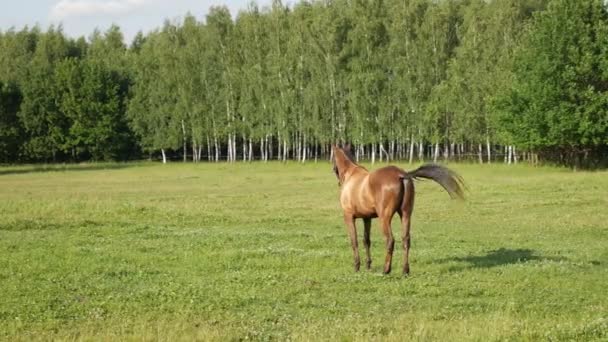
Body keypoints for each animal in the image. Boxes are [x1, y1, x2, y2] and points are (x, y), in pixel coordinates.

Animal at [330, 144, 464, 276]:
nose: (335, 172)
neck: (351, 175)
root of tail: (401, 175)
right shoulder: (366, 218)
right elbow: (366, 240)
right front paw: (368, 265)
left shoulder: (349, 217)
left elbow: (354, 241)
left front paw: (357, 267)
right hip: (405, 214)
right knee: (406, 240)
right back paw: (405, 271)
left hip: (385, 218)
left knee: (390, 240)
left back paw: (386, 270)